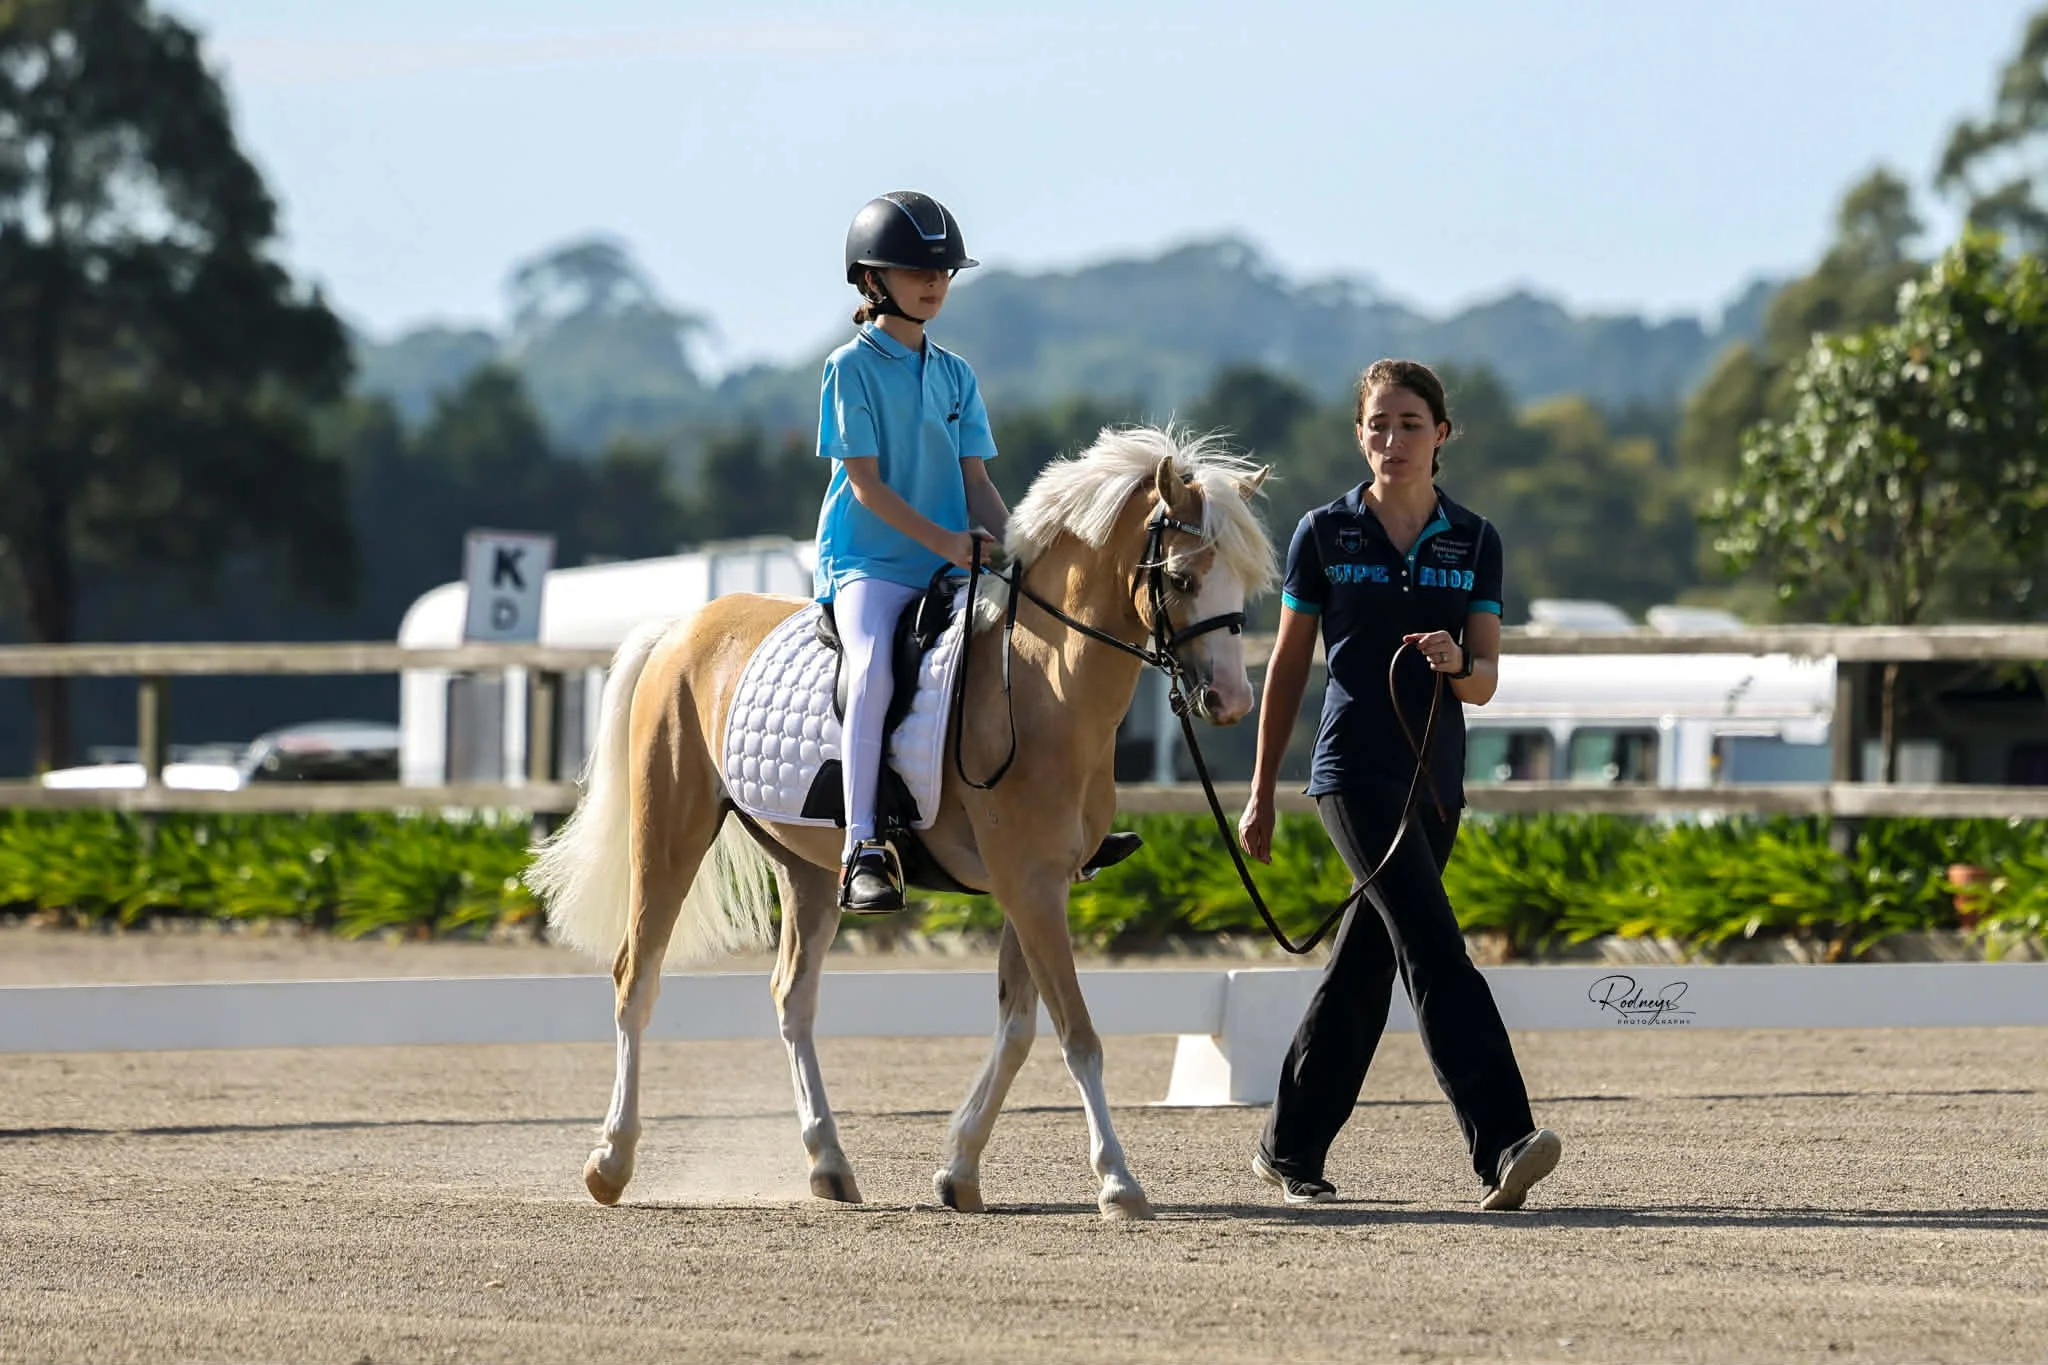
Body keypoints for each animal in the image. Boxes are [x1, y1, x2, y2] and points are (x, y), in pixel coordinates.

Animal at [526, 424, 1278, 1221]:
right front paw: (1118, 1181)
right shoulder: (1032, 887)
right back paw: (611, 1161)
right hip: (667, 835)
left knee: (792, 998)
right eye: (1183, 578)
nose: (1230, 701)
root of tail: (683, 628)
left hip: (807, 870)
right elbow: (1078, 1033)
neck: (1041, 682)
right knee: (636, 979)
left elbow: (1018, 1028)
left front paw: (960, 1169)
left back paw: (829, 1163)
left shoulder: (1036, 887)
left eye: (1242, 583)